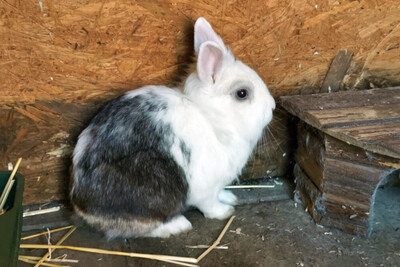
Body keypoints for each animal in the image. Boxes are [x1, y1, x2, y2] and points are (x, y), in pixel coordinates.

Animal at [70, 18, 276, 241]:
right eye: (242, 93)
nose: (273, 106)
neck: (212, 120)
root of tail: (80, 203)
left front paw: (230, 197)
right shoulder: (205, 190)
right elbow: (210, 205)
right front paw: (225, 212)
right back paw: (178, 225)